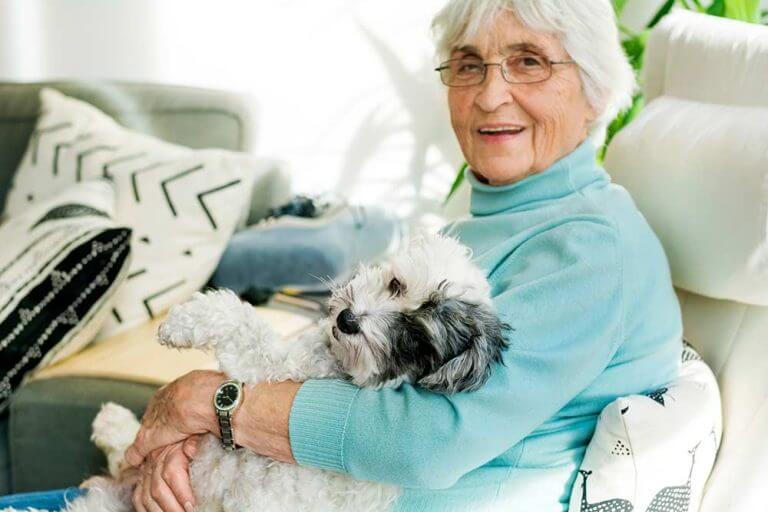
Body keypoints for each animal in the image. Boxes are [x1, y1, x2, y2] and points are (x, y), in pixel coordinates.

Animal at [67, 234, 510, 512]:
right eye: (396, 284)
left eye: (416, 338)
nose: (347, 320)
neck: (335, 366)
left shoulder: (269, 366)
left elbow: (241, 319)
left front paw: (182, 321)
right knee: (122, 458)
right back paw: (112, 423)